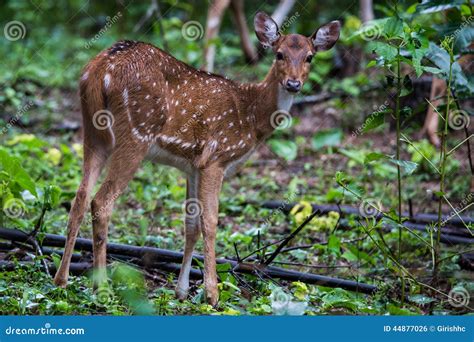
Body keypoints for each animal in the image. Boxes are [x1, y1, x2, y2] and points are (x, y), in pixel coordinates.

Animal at [53, 10, 338, 306]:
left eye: (309, 57)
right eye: (279, 54)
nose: (293, 84)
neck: (251, 117)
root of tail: (100, 69)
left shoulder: (192, 166)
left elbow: (190, 224)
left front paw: (181, 291)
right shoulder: (216, 158)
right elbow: (210, 222)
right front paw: (211, 293)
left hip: (92, 131)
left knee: (80, 197)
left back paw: (61, 280)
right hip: (136, 134)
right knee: (101, 201)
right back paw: (102, 287)